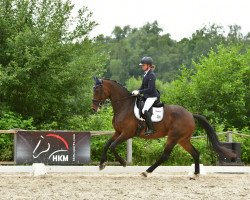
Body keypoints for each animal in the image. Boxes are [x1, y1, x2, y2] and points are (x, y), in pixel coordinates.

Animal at [92, 77, 236, 177]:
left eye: (97, 90)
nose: (93, 108)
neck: (124, 106)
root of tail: (190, 114)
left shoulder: (127, 133)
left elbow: (112, 146)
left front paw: (123, 163)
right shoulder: (118, 132)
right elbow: (106, 144)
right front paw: (101, 164)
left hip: (173, 137)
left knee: (165, 155)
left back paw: (147, 172)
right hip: (183, 139)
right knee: (195, 153)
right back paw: (195, 174)